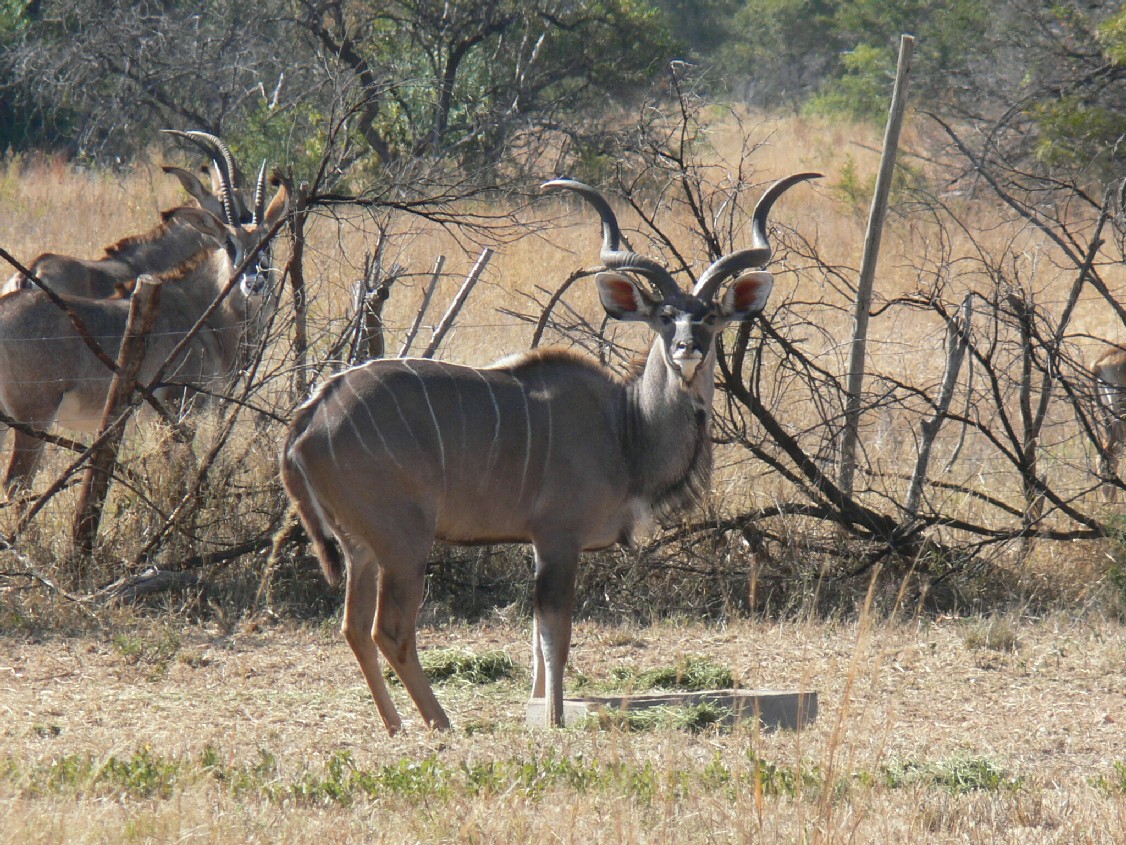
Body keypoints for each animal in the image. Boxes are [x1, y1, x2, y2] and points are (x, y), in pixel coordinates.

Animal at [0, 175, 288, 500]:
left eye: (269, 240)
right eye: (229, 243)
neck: (200, 306)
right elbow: (177, 475)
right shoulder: (178, 407)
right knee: (16, 486)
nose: (254, 282)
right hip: (33, 419)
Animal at [275, 173, 815, 734]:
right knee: (390, 629)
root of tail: (310, 415)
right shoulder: (560, 537)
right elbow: (556, 633)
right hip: (403, 542)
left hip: (360, 548)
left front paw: (538, 708)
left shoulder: (538, 541)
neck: (625, 427)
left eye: (708, 316)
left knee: (353, 627)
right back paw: (440, 722)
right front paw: (554, 718)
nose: (688, 349)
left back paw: (397, 725)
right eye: (665, 317)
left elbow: (536, 636)